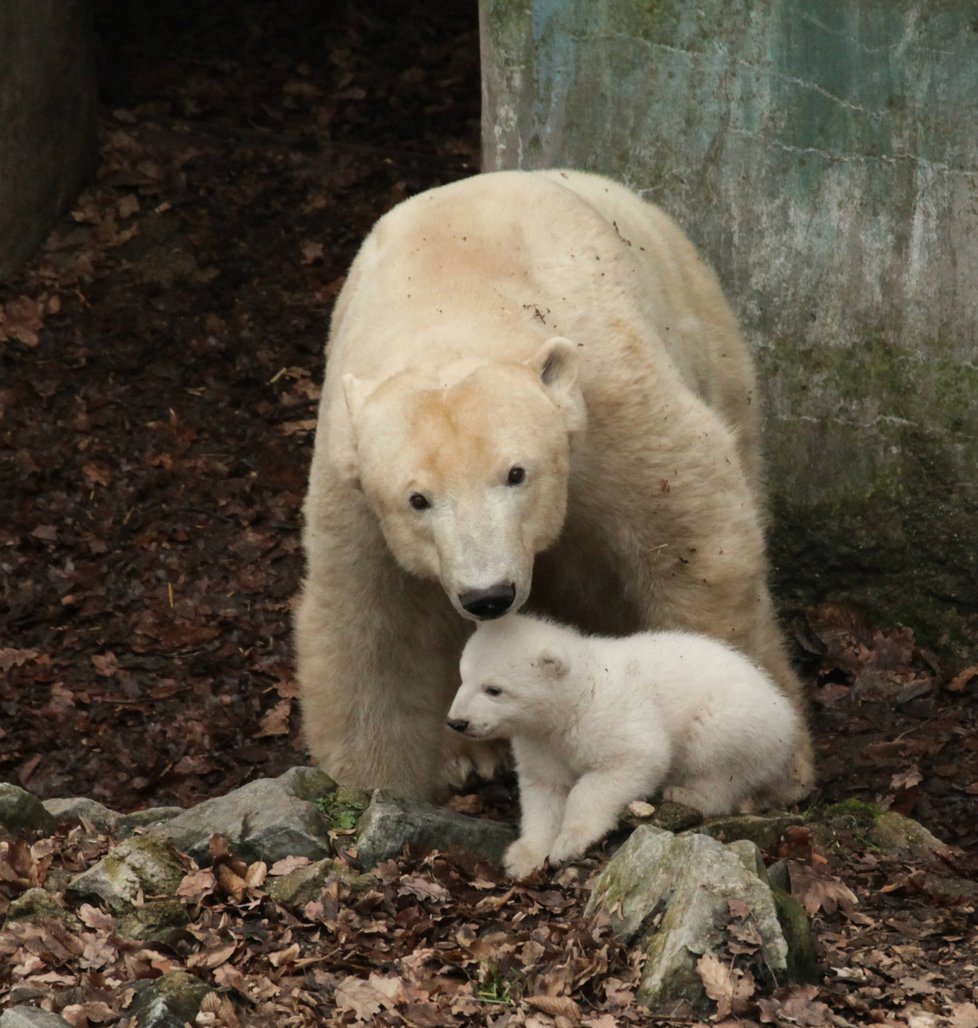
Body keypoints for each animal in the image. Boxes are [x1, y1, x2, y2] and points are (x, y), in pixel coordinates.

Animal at [294, 168, 814, 801]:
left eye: (517, 474)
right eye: (418, 500)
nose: (488, 595)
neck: (452, 302)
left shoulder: (608, 409)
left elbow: (695, 546)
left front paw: (769, 766)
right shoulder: (354, 480)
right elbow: (374, 627)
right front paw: (375, 785)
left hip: (707, 336)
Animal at [450, 612, 802, 879]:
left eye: (494, 689)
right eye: (463, 677)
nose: (457, 722)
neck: (577, 697)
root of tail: (787, 716)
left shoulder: (611, 720)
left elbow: (633, 761)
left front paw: (570, 842)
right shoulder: (540, 744)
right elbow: (543, 791)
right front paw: (524, 856)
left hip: (737, 721)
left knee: (717, 761)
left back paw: (687, 793)